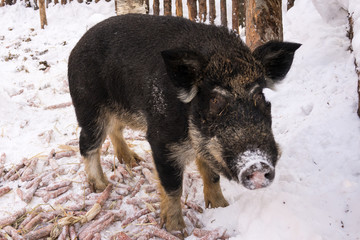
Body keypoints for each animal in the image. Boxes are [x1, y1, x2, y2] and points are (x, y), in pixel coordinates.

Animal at [67, 13, 300, 234]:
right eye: (215, 99)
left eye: (259, 95)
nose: (257, 164)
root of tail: (77, 46)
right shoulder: (161, 140)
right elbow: (172, 187)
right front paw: (177, 231)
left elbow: (211, 175)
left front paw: (221, 207)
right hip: (89, 108)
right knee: (87, 144)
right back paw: (102, 187)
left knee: (115, 130)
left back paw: (133, 161)